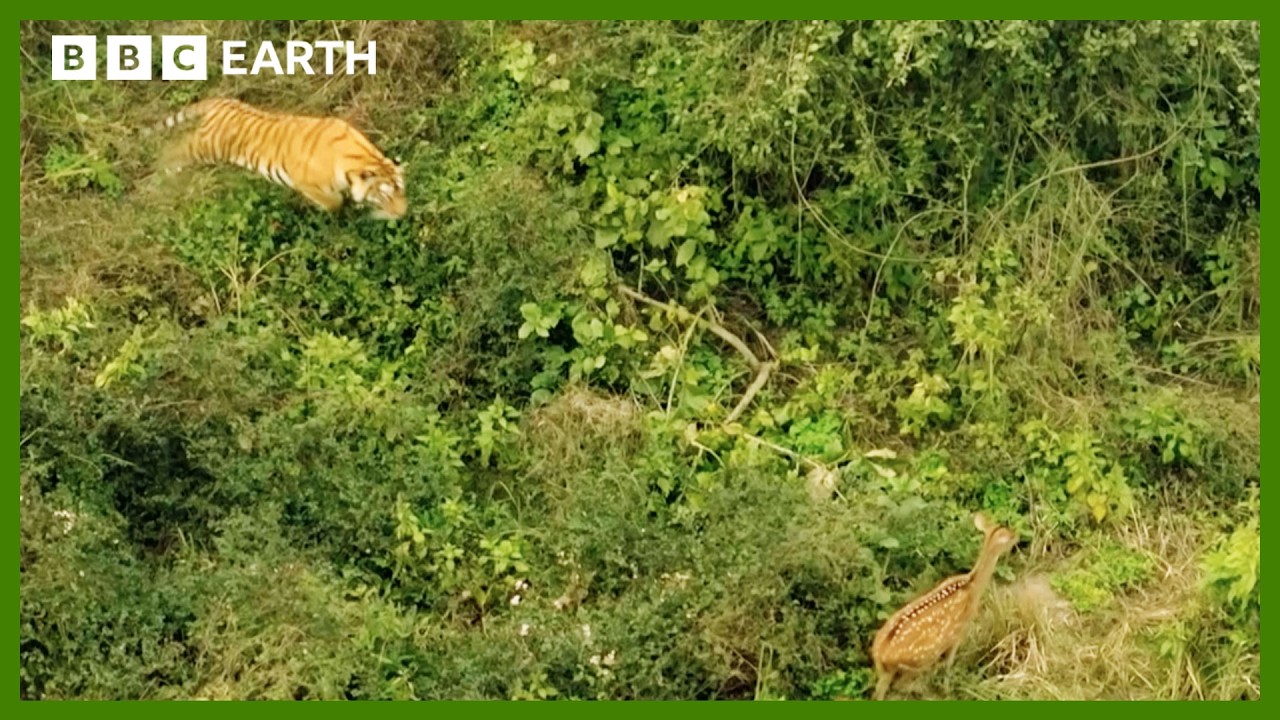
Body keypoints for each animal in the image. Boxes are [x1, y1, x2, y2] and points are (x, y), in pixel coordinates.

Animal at [150, 97, 407, 220]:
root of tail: (222, 102)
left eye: (401, 191)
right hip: (203, 147)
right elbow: (334, 202)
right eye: (385, 195)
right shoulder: (306, 182)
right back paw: (165, 170)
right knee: (174, 148)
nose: (403, 213)